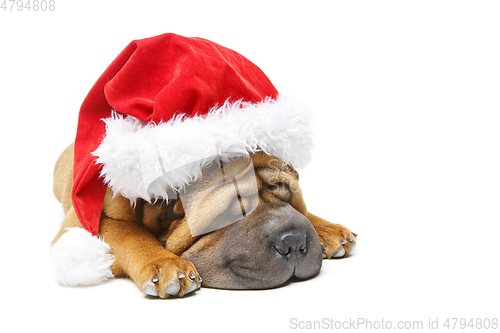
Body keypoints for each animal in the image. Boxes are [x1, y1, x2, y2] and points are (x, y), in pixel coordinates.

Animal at [51, 141, 356, 296]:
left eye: (284, 189)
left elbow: (305, 213)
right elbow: (129, 234)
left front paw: (327, 229)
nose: (293, 241)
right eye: (229, 211)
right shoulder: (82, 221)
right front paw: (166, 264)